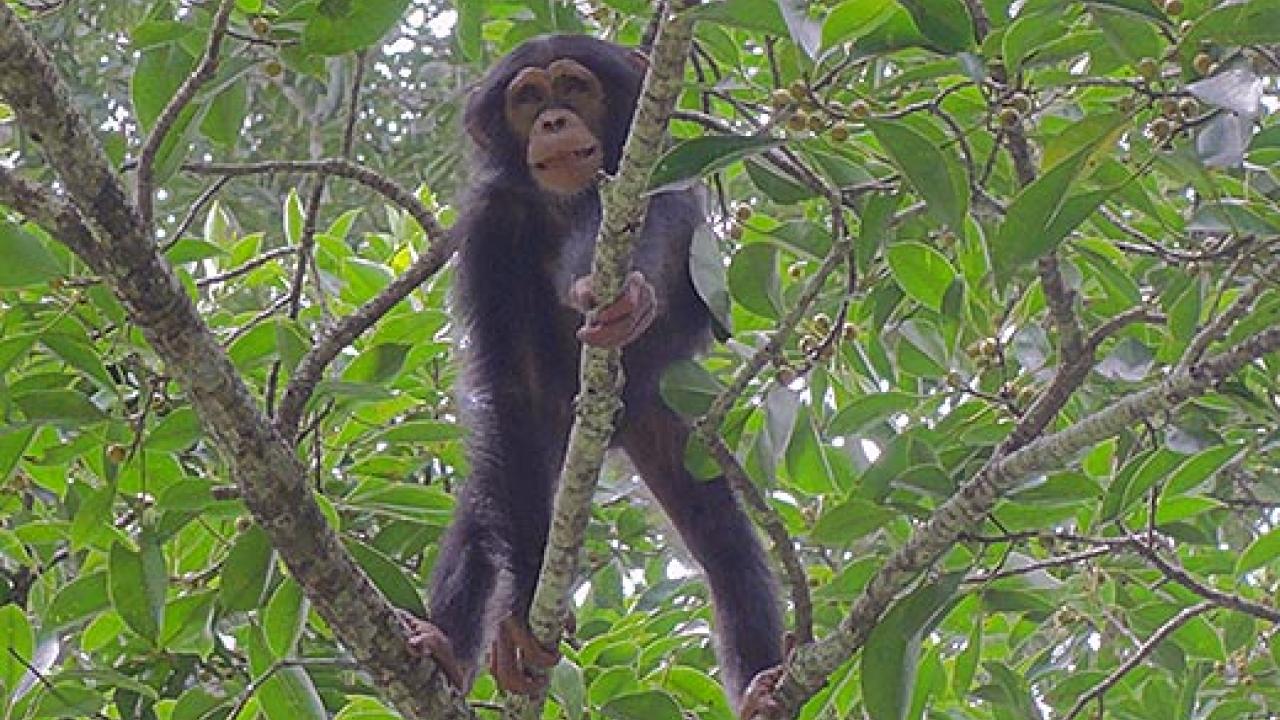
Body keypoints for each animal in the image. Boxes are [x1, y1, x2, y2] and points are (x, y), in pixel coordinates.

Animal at [404, 35, 783, 717]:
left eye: (575, 87)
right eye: (527, 98)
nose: (553, 120)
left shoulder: (658, 175)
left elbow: (656, 224)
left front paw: (629, 297)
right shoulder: (490, 226)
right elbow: (510, 384)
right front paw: (519, 617)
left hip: (663, 421)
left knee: (726, 547)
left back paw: (761, 689)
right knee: (485, 507)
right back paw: (446, 648)